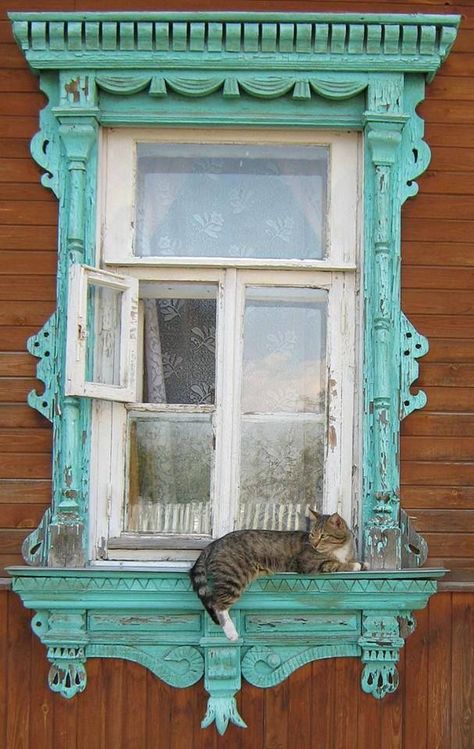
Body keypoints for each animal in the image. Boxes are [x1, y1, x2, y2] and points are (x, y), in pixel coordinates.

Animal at [189, 508, 366, 644]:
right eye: (312, 535)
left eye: (323, 536)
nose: (315, 544)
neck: (340, 549)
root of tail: (215, 542)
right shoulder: (311, 564)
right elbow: (336, 564)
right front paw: (356, 565)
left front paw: (361, 563)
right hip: (233, 577)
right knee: (218, 605)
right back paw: (231, 633)